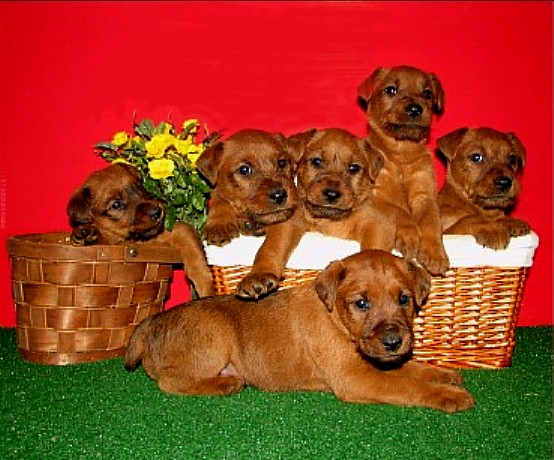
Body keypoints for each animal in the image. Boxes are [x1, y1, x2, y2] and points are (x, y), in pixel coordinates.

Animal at [68, 165, 215, 298]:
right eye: (116, 204)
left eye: (139, 186)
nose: (157, 212)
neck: (132, 240)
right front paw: (86, 233)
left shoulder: (175, 231)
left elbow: (195, 256)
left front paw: (207, 288)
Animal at [125, 250, 474, 416]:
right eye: (361, 303)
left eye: (404, 299)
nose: (393, 342)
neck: (336, 320)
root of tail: (151, 323)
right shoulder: (355, 377)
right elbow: (407, 385)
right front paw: (449, 395)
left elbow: (411, 369)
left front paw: (443, 375)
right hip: (215, 337)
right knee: (170, 381)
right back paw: (226, 384)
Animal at [234, 127, 418, 298]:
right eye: (317, 161)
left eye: (353, 168)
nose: (331, 194)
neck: (329, 220)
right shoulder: (290, 222)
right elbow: (271, 247)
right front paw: (259, 275)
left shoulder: (377, 224)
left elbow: (372, 252)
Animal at [356, 64, 446, 274]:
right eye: (391, 90)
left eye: (427, 93)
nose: (415, 108)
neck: (401, 154)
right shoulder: (376, 195)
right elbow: (399, 212)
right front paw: (410, 236)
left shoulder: (425, 196)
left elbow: (431, 222)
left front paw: (435, 253)